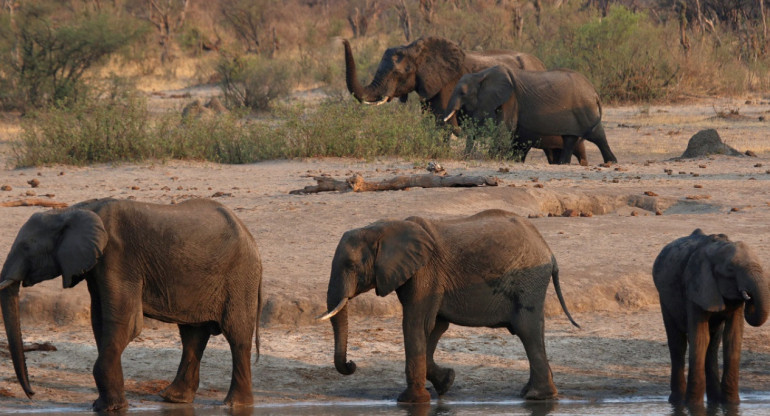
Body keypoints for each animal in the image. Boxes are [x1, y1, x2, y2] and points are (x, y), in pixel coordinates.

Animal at [0, 197, 262, 410]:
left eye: (26, 247)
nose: (32, 394)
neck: (73, 210)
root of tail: (250, 236)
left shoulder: (118, 257)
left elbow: (126, 323)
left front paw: (109, 408)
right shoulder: (98, 265)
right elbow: (100, 321)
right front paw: (105, 405)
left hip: (240, 277)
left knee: (236, 335)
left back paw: (234, 404)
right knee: (192, 335)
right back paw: (173, 398)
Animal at [318, 208, 576, 404]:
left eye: (351, 265)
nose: (352, 364)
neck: (384, 228)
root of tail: (549, 251)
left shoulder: (425, 273)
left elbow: (416, 324)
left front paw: (411, 401)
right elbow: (434, 327)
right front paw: (447, 382)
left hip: (529, 281)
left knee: (527, 329)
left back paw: (536, 397)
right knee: (533, 330)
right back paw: (531, 394)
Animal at [440, 65, 616, 164]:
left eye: (462, 93)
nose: (465, 157)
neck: (481, 74)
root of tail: (594, 92)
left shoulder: (511, 99)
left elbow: (505, 129)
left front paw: (493, 158)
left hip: (585, 109)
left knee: (596, 134)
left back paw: (611, 162)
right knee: (570, 138)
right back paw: (563, 164)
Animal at [648, 228, 768, 406]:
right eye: (730, 269)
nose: (749, 297)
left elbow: (733, 338)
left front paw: (732, 404)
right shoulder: (696, 287)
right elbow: (699, 337)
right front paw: (693, 406)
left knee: (713, 344)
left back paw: (715, 400)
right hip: (664, 298)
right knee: (678, 344)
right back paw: (677, 401)